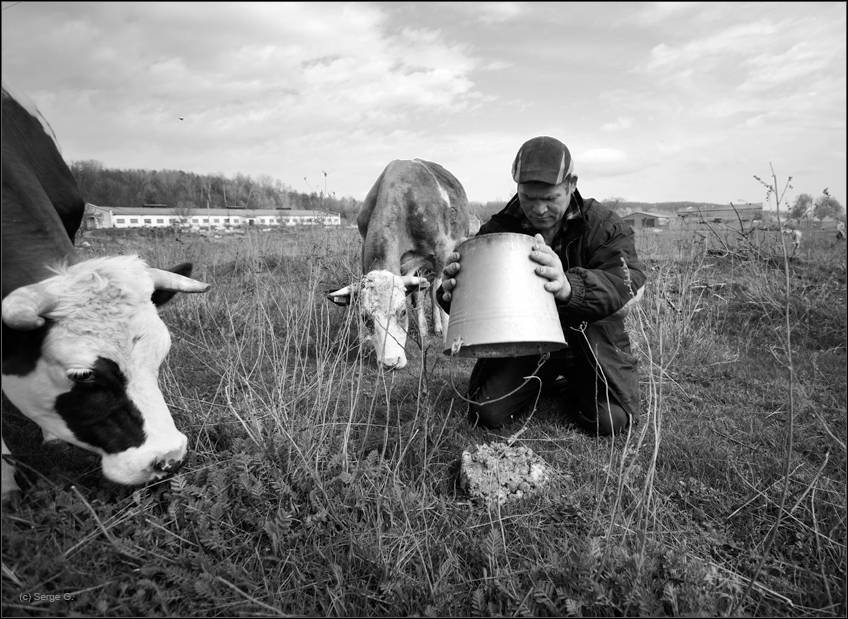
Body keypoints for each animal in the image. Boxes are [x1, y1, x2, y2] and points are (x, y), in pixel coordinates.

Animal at [326, 161, 470, 372]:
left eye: (402, 312)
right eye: (365, 318)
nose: (391, 362)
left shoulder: (444, 251)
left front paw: (448, 341)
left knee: (435, 288)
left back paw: (438, 328)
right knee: (424, 293)